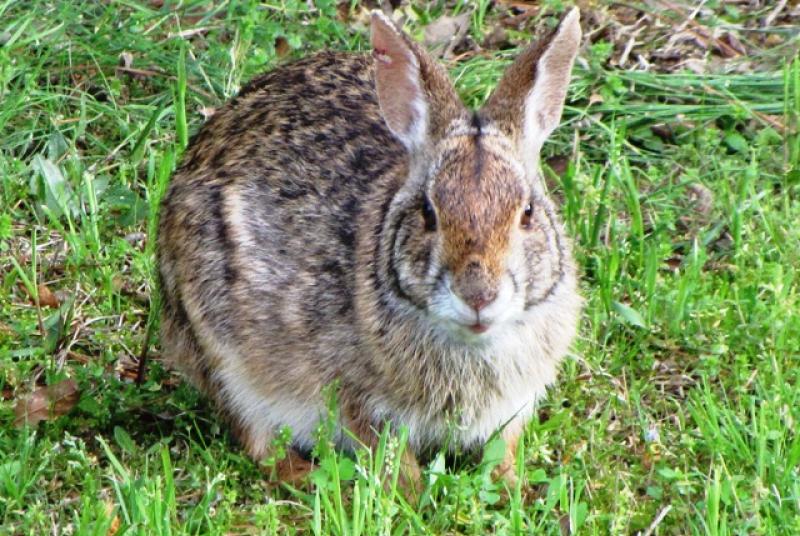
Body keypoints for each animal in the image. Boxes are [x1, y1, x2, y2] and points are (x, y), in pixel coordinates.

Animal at [157, 8, 583, 488]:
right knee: (261, 446)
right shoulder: (358, 400)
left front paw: (513, 487)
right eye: (428, 213)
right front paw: (411, 495)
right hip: (224, 357)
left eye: (527, 212)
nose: (478, 295)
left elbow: (502, 450)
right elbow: (392, 458)